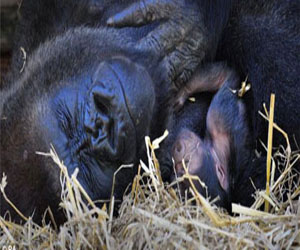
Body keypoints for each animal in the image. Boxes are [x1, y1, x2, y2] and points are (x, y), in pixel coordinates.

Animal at [171, 64, 253, 211]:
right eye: (177, 169)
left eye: (187, 163)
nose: (177, 147)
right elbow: (224, 75)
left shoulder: (217, 119)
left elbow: (224, 75)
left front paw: (179, 96)